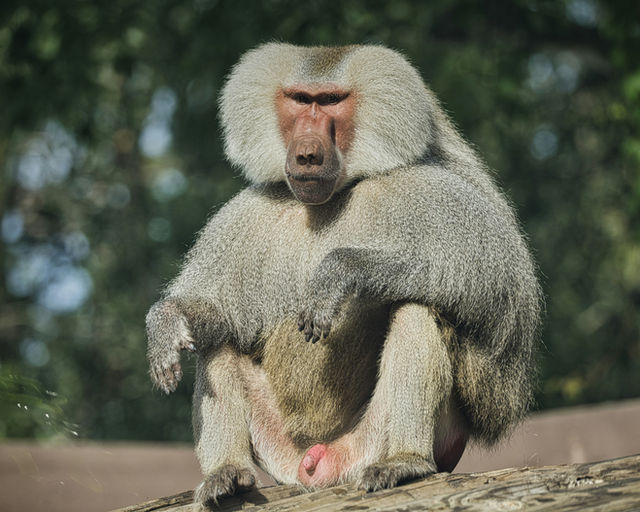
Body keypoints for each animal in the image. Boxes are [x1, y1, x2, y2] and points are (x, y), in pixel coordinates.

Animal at [145, 43, 541, 507]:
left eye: (332, 101)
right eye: (300, 100)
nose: (306, 153)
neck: (334, 195)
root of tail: (320, 466)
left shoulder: (436, 192)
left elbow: (502, 287)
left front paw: (341, 272)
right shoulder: (246, 215)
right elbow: (218, 315)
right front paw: (166, 322)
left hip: (375, 444)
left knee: (417, 309)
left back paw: (405, 462)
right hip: (281, 450)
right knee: (216, 344)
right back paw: (227, 476)